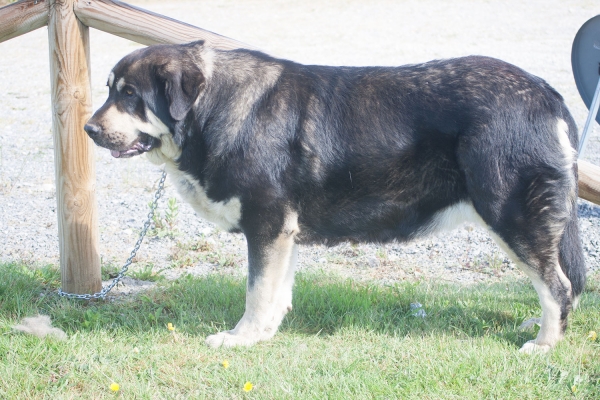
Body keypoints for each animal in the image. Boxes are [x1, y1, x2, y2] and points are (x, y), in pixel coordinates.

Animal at [85, 41, 584, 354]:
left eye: (130, 95)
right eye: (109, 90)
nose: (88, 129)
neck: (214, 109)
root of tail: (546, 93)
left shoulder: (266, 223)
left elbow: (256, 291)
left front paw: (242, 337)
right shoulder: (282, 231)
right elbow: (274, 291)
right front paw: (264, 334)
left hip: (511, 214)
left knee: (557, 285)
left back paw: (544, 343)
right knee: (560, 285)